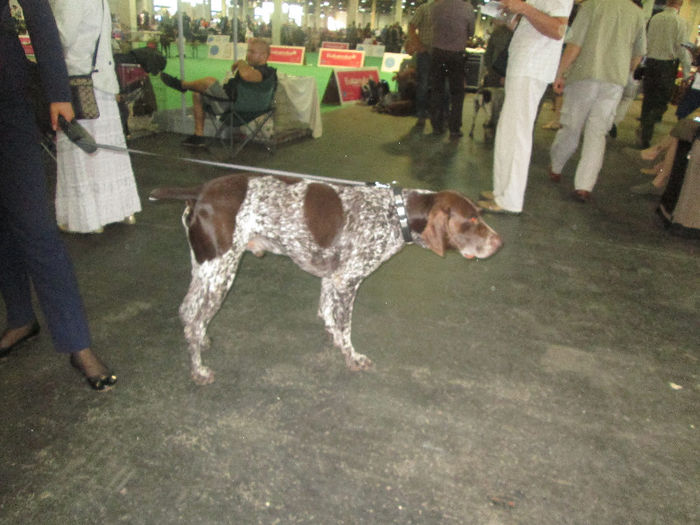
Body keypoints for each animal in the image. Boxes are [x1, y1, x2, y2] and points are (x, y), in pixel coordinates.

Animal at [150, 174, 500, 382]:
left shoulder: (332, 278)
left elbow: (329, 316)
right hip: (221, 272)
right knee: (193, 317)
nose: (499, 243)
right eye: (471, 220)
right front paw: (352, 357)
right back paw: (198, 369)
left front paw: (333, 339)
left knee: (188, 312)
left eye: (480, 216)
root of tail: (201, 191)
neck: (395, 213)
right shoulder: (347, 280)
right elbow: (344, 327)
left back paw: (201, 340)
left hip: (204, 268)